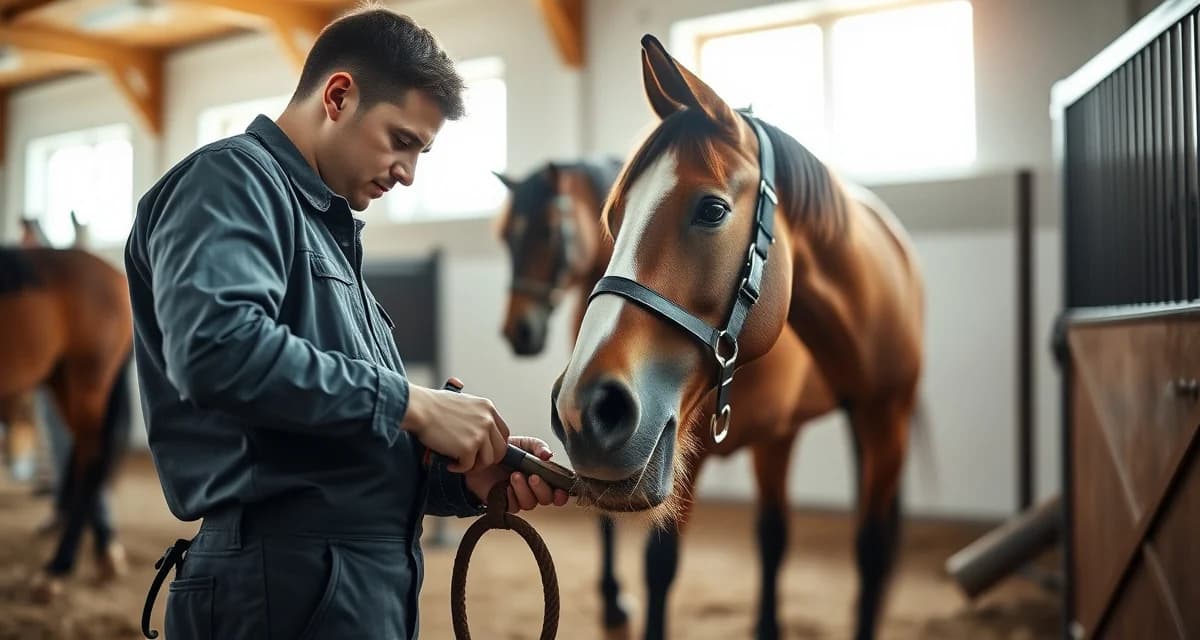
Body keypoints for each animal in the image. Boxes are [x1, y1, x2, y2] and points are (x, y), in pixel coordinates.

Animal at [0, 246, 134, 602]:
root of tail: (114, 275)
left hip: (87, 378)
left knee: (92, 458)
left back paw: (57, 568)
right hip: (61, 378)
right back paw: (106, 553)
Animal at [549, 35, 925, 640]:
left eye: (713, 209)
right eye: (614, 218)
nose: (585, 409)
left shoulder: (885, 415)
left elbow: (868, 553)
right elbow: (664, 565)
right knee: (773, 534)